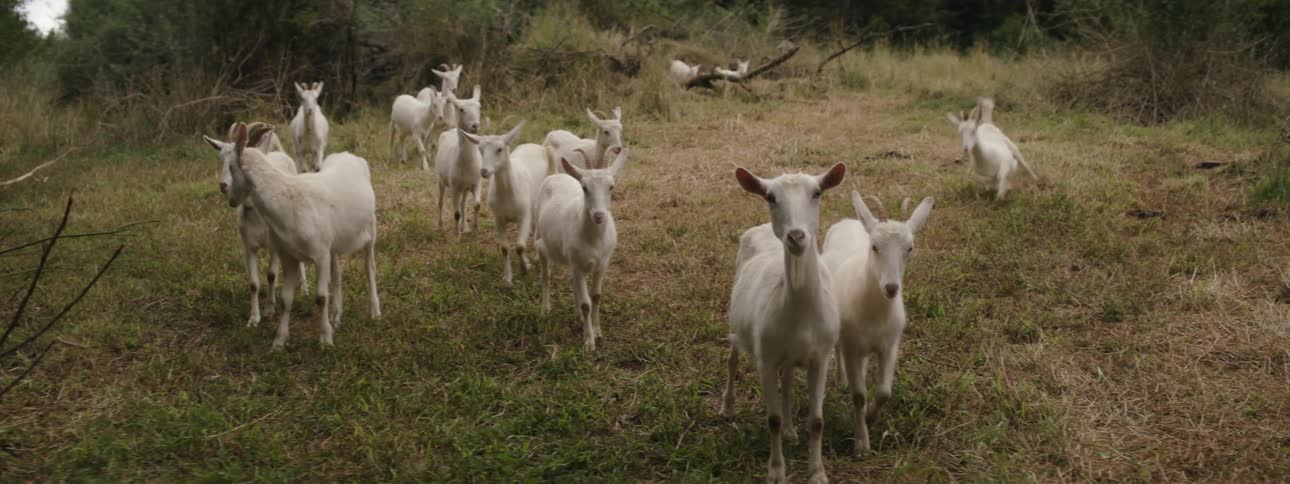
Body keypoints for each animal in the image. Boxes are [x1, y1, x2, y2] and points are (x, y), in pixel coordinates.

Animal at [722, 162, 846, 483]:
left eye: (817, 193)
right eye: (770, 197)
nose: (796, 236)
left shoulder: (821, 356)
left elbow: (817, 420)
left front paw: (817, 473)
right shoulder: (765, 357)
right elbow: (773, 419)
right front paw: (776, 472)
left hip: (789, 354)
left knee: (788, 381)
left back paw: (791, 431)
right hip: (738, 322)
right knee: (732, 359)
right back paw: (727, 407)